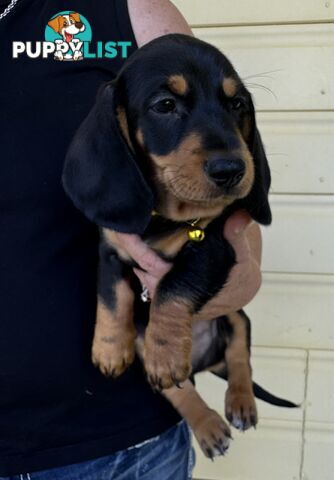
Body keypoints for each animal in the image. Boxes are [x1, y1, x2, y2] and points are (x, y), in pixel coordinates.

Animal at [62, 34, 294, 458]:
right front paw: (108, 348)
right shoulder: (111, 249)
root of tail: (203, 363)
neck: (165, 217)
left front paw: (165, 350)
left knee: (239, 353)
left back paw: (239, 403)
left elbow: (173, 286)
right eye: (165, 106)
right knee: (179, 391)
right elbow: (111, 297)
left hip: (235, 312)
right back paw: (208, 426)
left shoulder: (212, 248)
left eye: (237, 105)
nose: (232, 170)